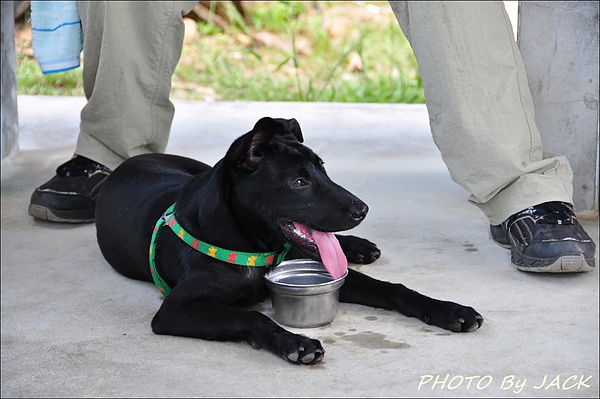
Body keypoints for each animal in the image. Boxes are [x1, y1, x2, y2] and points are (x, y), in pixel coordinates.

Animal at [97, 116, 482, 366]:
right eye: (298, 182)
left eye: (322, 168)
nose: (363, 209)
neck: (251, 245)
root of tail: (129, 161)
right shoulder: (175, 309)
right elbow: (253, 317)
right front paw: (294, 342)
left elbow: (393, 288)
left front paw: (450, 310)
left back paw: (358, 246)